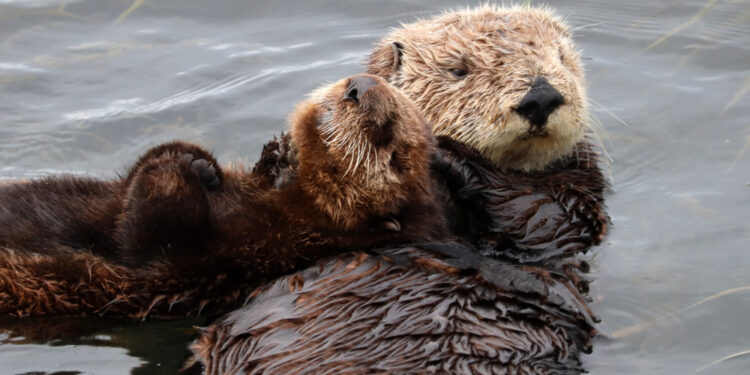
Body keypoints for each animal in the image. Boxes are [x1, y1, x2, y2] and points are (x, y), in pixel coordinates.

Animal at [0, 74, 446, 320]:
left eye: (389, 141)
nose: (360, 85)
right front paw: (214, 162)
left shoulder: (212, 259)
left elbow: (147, 230)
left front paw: (184, 167)